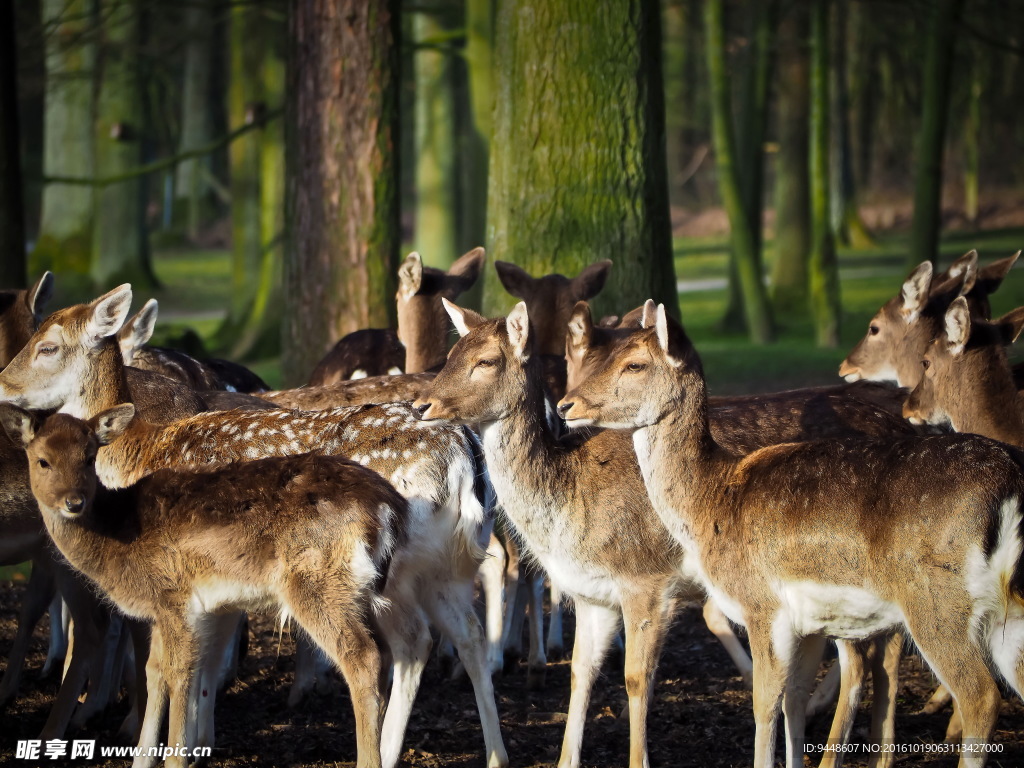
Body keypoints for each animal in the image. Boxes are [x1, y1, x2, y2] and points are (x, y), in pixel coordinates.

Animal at [3, 403, 403, 768]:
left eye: (89, 458)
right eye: (42, 461)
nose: (74, 502)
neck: (117, 539)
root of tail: (387, 507)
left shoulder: (175, 596)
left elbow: (180, 672)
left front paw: (177, 758)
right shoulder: (162, 611)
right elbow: (154, 671)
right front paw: (143, 758)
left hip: (318, 584)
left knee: (362, 657)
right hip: (366, 593)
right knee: (387, 654)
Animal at [411, 299, 757, 768]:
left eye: (485, 360)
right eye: (450, 355)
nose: (420, 405)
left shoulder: (647, 581)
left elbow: (636, 676)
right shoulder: (595, 594)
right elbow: (580, 672)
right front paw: (566, 757)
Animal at [557, 301, 1024, 768]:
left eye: (634, 363)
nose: (565, 404)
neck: (711, 498)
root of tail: (1011, 483)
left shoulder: (762, 604)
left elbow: (765, 702)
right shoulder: (807, 622)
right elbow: (791, 699)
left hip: (937, 603)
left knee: (982, 695)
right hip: (1006, 610)